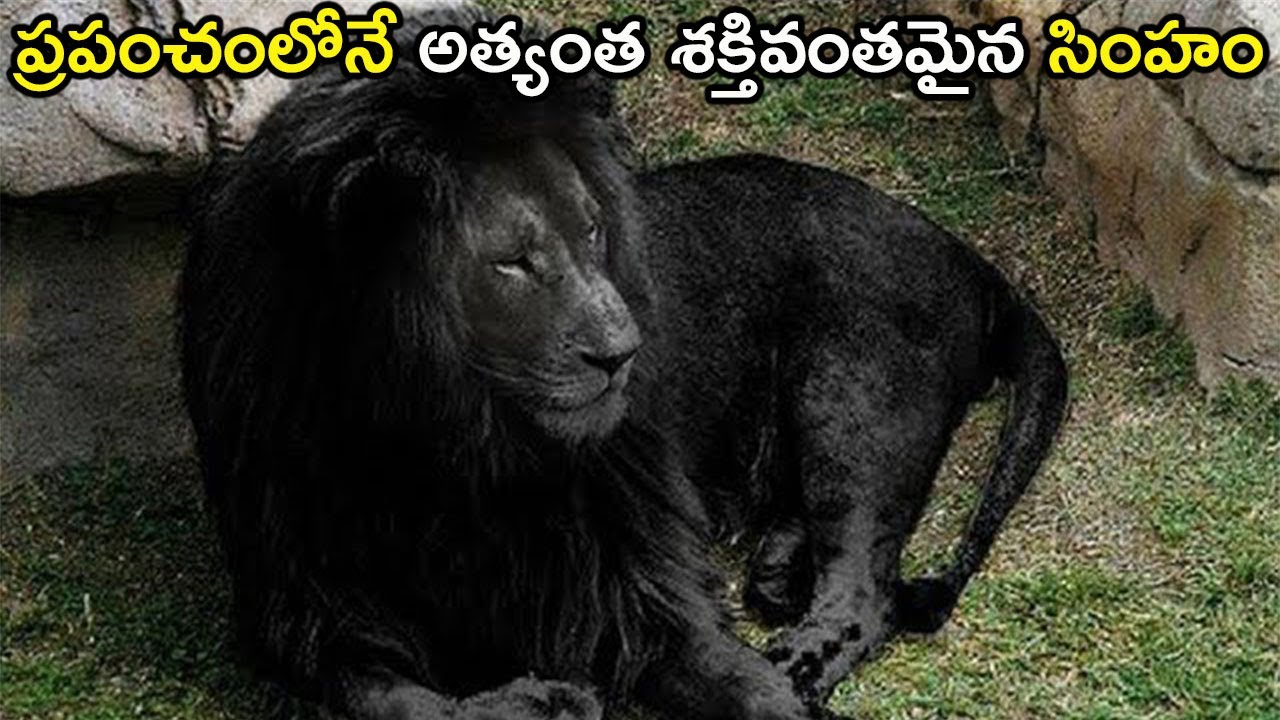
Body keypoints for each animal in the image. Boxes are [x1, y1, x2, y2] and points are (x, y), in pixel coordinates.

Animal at [181, 8, 1066, 719]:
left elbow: (738, 681)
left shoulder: (637, 585)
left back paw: (798, 647)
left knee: (867, 591)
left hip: (858, 398)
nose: (624, 352)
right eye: (514, 262)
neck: (458, 451)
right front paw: (538, 701)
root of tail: (970, 257)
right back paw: (778, 567)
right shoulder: (308, 598)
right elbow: (394, 701)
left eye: (595, 230)